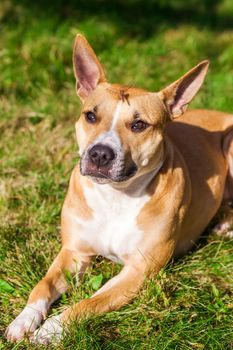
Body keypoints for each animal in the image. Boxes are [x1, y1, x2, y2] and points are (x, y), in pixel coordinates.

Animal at [5, 35, 233, 344]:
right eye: (90, 116)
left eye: (139, 124)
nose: (100, 154)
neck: (115, 196)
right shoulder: (74, 252)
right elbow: (43, 285)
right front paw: (24, 319)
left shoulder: (138, 271)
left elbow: (88, 303)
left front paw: (52, 329)